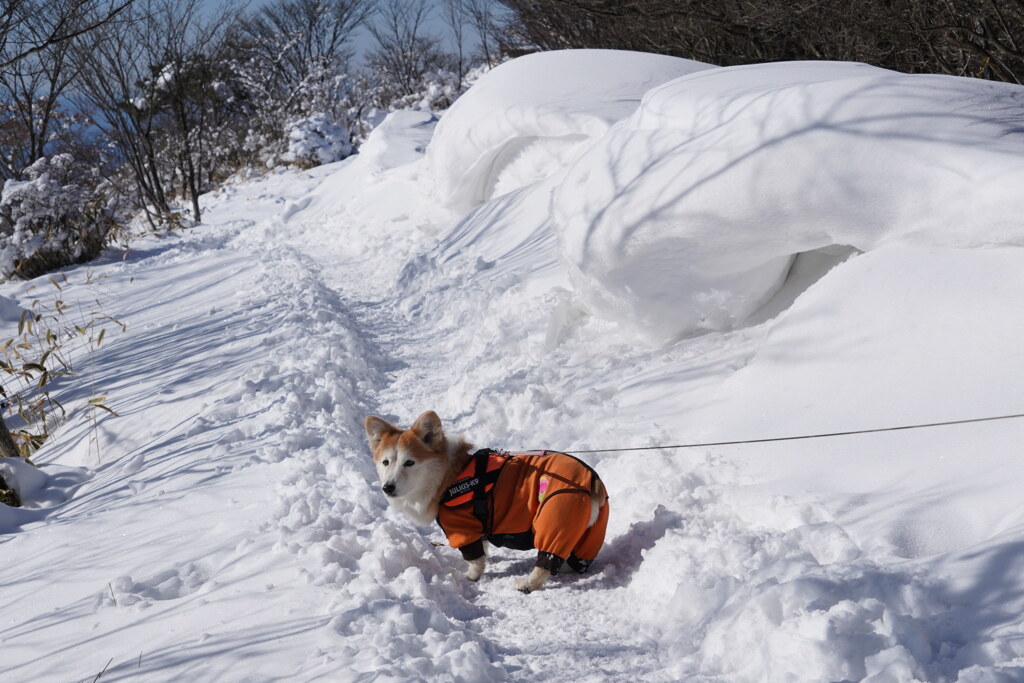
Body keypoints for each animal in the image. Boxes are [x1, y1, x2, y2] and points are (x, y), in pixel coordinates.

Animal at [364, 411, 606, 593]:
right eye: (385, 462)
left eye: (409, 462)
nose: (388, 487)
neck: (447, 475)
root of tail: (592, 482)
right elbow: (483, 547)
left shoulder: (462, 528)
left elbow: (475, 559)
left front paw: (471, 577)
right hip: (589, 535)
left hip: (554, 519)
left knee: (546, 562)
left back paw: (527, 584)